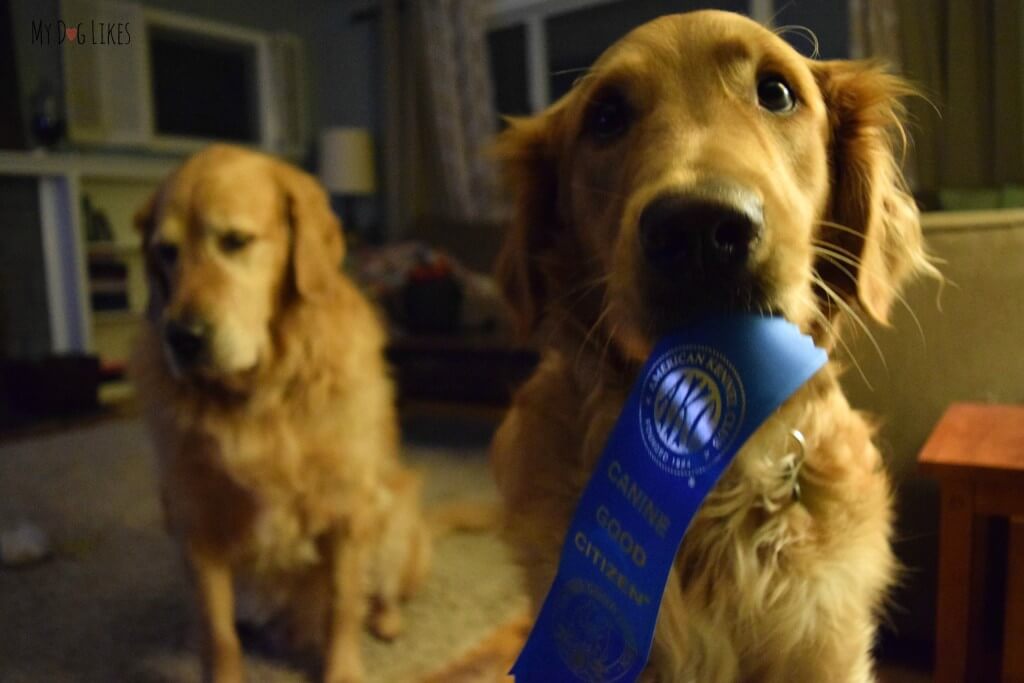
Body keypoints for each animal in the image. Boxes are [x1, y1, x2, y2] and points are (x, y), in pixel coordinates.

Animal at [131, 145, 428, 683]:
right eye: (165, 251)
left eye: (235, 241)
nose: (182, 338)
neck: (260, 394)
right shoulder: (195, 519)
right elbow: (217, 630)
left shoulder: (348, 511)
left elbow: (342, 604)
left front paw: (343, 672)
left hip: (395, 518)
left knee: (382, 594)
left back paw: (387, 620)